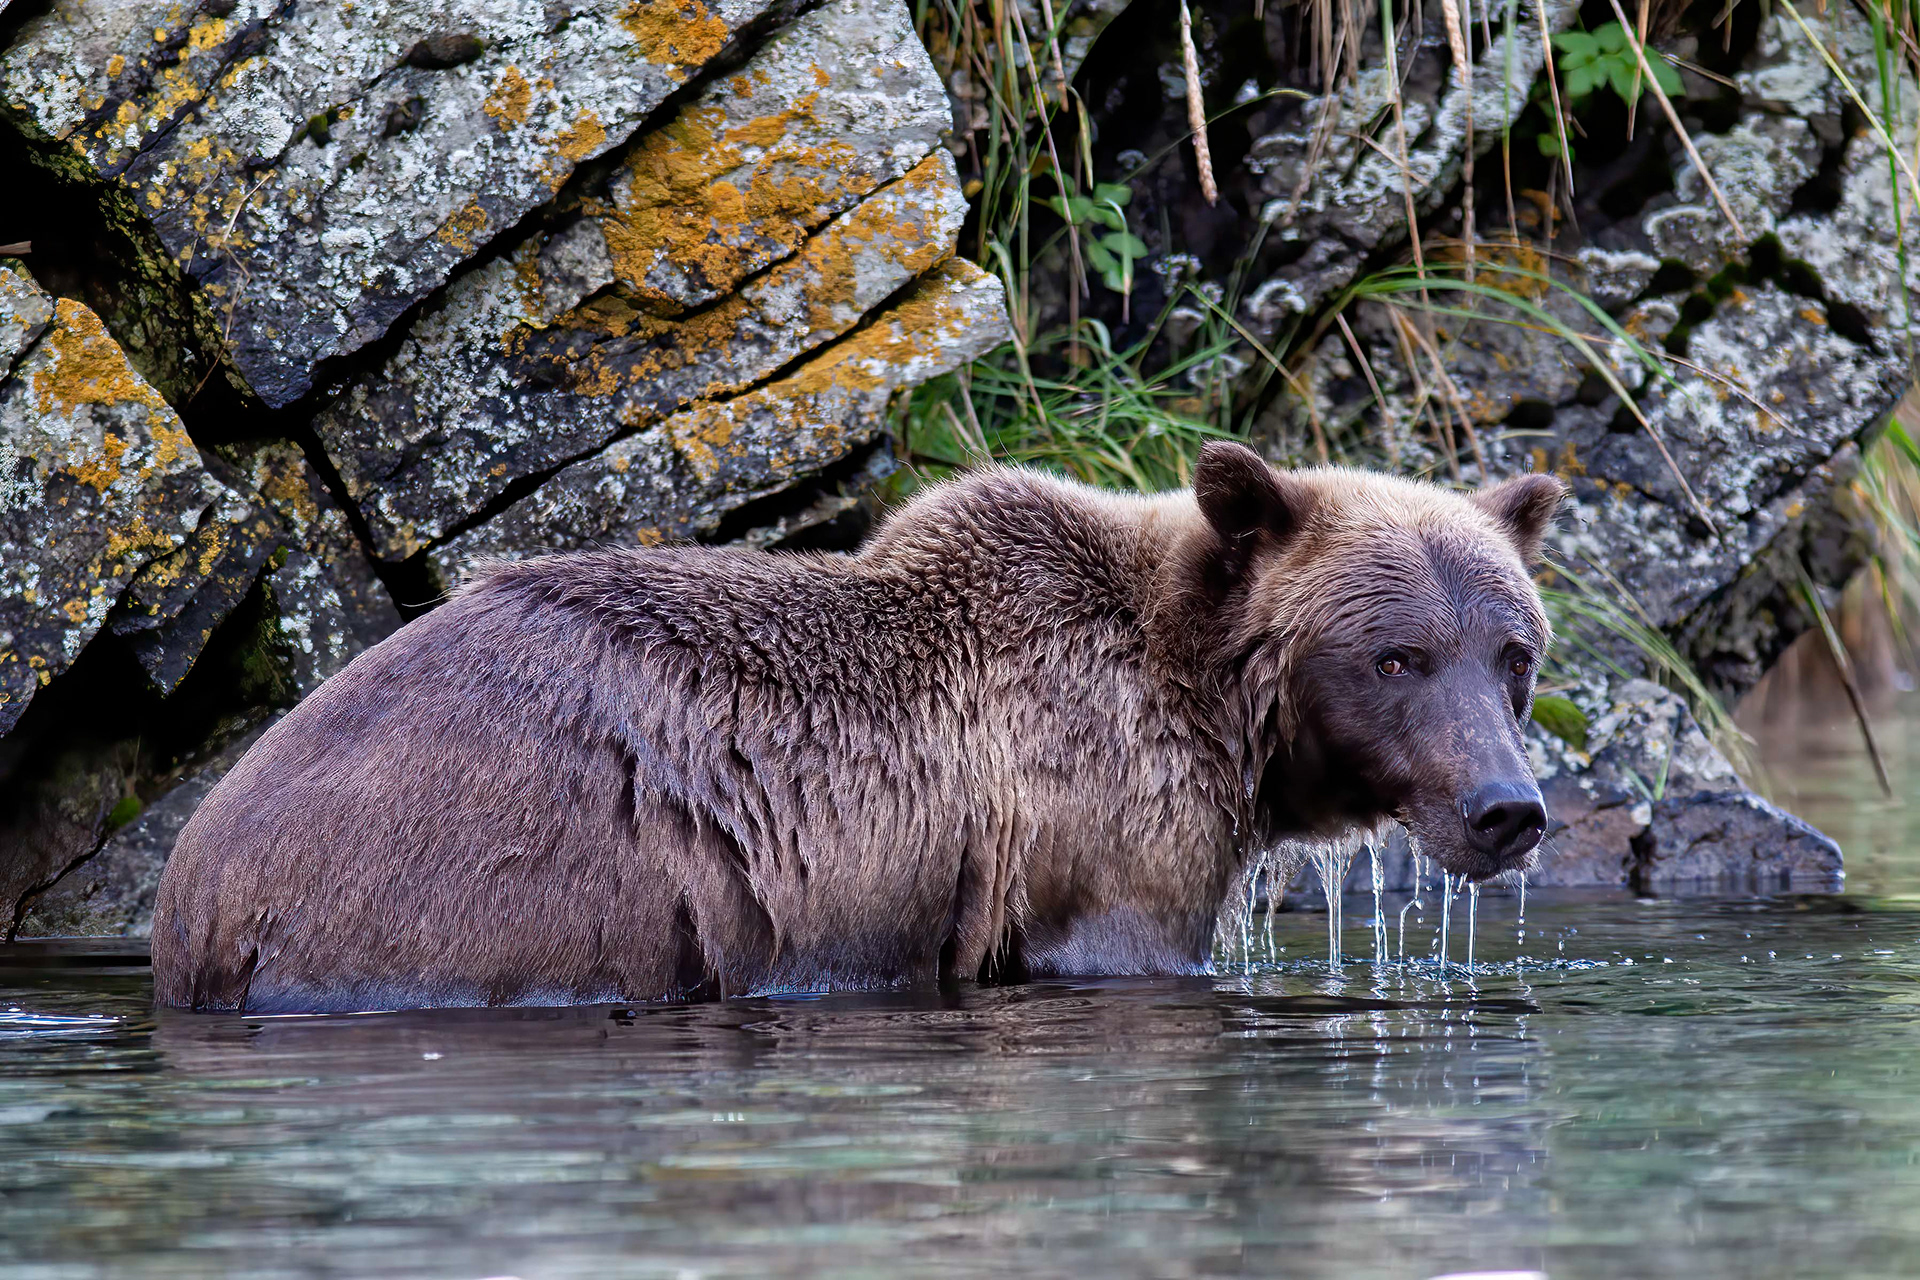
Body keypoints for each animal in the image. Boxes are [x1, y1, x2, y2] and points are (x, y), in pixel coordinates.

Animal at [150, 442, 1565, 1012]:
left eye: (1515, 655)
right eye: (1396, 655)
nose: (1508, 808)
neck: (1211, 707)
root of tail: (196, 881)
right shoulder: (1103, 828)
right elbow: (1120, 944)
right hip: (499, 891)